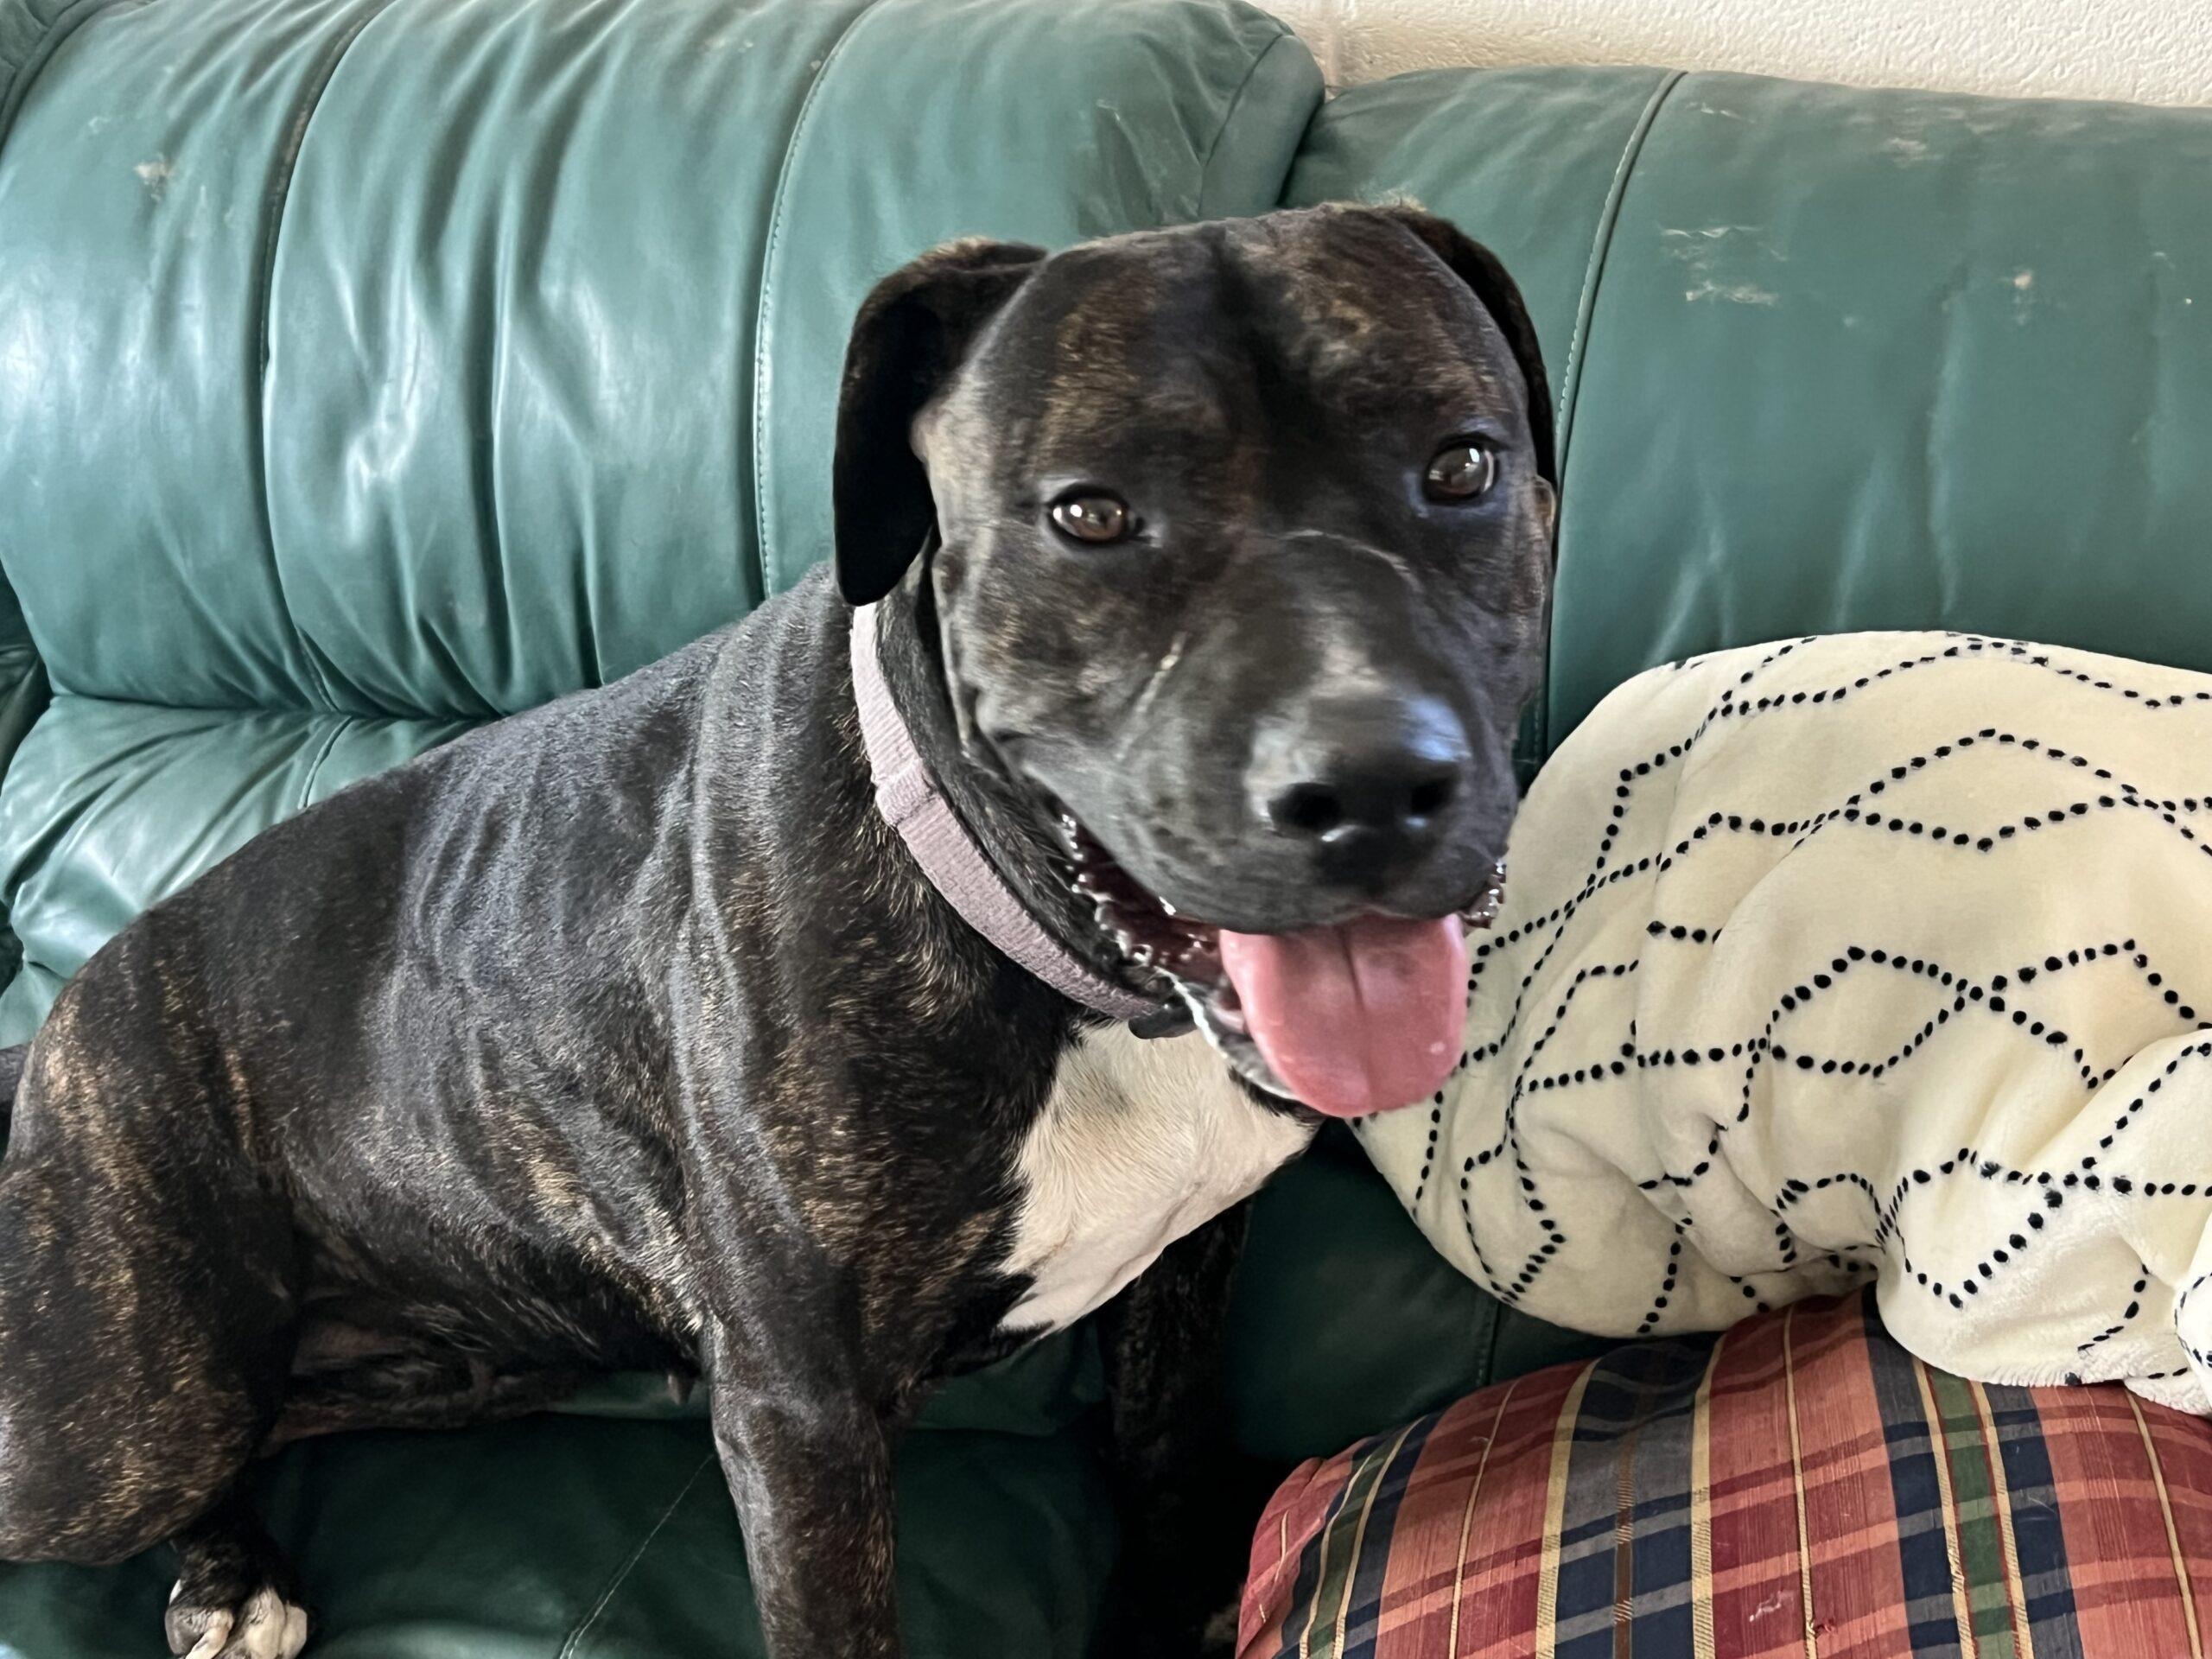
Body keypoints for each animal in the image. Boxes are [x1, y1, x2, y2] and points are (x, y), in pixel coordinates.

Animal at [0, 207, 1557, 1659]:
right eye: (1091, 515)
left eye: (1462, 468)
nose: (1371, 784)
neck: (1066, 978)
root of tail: (65, 1021)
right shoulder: (805, 1412)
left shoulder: (1188, 1257)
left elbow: (1164, 1436)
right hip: (112, 1424)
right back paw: (226, 1573)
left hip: (461, 1365)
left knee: (279, 1414)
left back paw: (237, 1568)